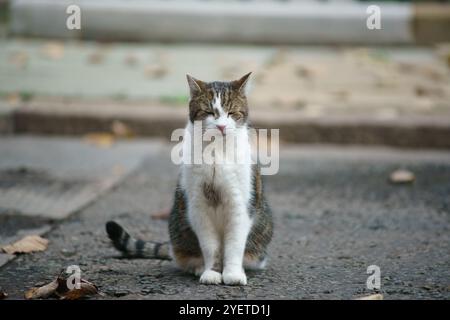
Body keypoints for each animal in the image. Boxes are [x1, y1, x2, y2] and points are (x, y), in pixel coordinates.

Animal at [106, 74, 274, 286]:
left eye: (231, 113)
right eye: (209, 112)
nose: (221, 126)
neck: (215, 152)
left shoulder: (239, 206)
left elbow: (234, 245)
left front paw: (233, 273)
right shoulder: (198, 206)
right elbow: (210, 246)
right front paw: (211, 272)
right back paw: (198, 267)